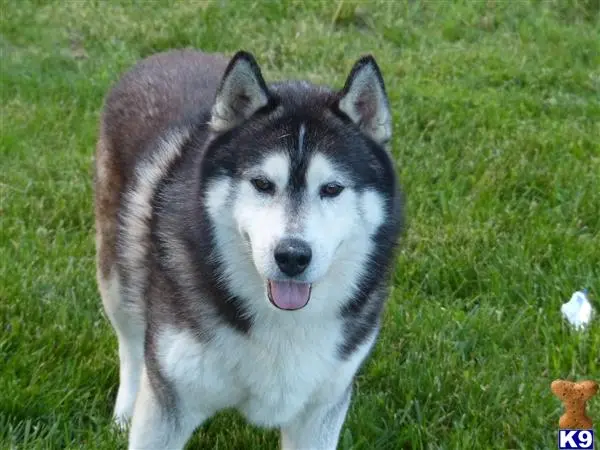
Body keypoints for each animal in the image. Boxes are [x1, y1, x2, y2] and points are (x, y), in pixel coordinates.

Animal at [94, 49, 404, 450]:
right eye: (262, 183)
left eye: (332, 189)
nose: (292, 256)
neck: (284, 322)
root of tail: (168, 54)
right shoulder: (168, 405)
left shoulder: (322, 408)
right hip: (117, 275)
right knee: (131, 342)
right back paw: (124, 410)